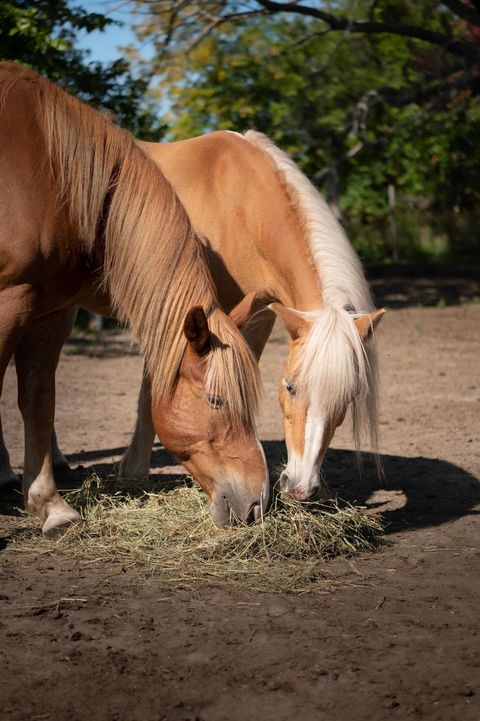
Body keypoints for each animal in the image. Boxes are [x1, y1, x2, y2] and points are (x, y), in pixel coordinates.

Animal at [0, 63, 268, 536]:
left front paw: (51, 507)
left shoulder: (47, 310)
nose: (257, 503)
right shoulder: (10, 299)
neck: (47, 175)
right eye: (217, 401)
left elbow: (37, 400)